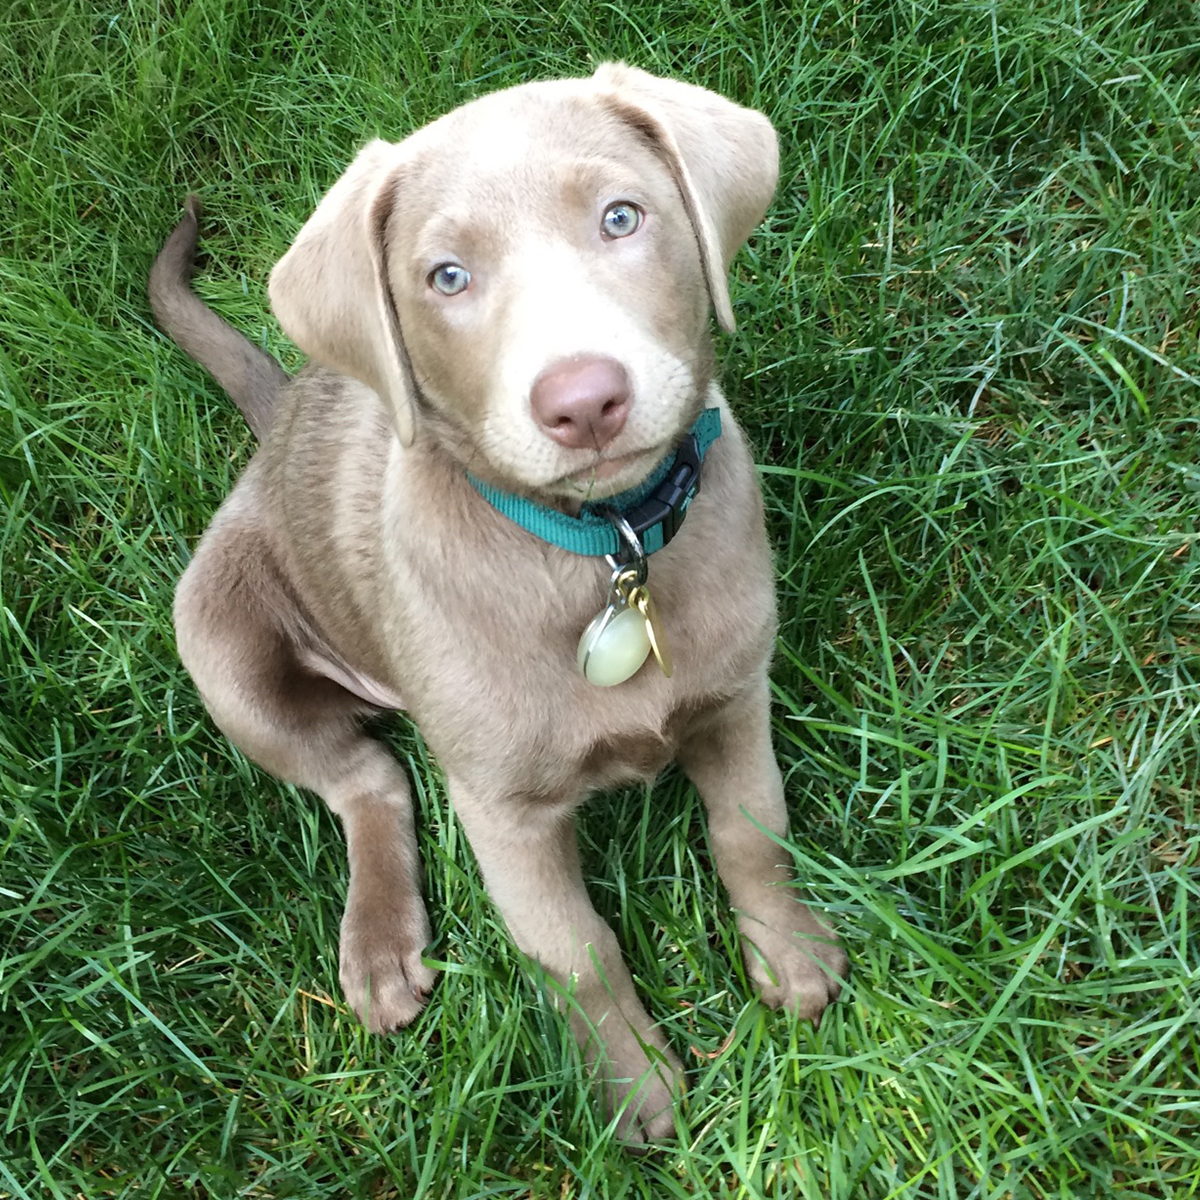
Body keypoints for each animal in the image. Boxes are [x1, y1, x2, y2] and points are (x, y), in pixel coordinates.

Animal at [147, 58, 844, 1142]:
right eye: (447, 278)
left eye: (620, 217)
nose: (584, 400)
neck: (606, 549)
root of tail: (280, 425)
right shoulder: (502, 808)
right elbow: (575, 949)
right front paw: (632, 1086)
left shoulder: (737, 696)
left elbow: (752, 833)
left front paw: (793, 954)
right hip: (220, 644)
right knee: (367, 779)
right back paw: (380, 944)